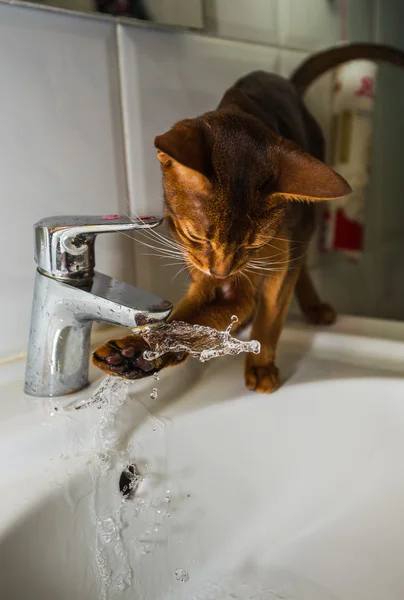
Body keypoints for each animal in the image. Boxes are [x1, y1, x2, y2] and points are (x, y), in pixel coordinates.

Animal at [93, 43, 404, 394]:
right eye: (195, 236)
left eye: (253, 244)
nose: (220, 271)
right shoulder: (219, 281)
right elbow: (188, 320)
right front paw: (134, 352)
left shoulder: (273, 259)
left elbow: (271, 316)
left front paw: (261, 366)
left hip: (305, 222)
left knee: (300, 263)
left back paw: (312, 307)